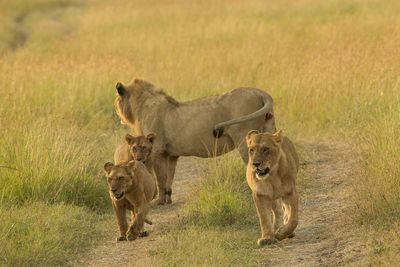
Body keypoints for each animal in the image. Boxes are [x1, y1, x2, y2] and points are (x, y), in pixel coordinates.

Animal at [112, 78, 276, 204]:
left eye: (117, 100)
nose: (117, 113)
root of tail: (260, 92)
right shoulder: (171, 155)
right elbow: (169, 178)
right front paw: (168, 200)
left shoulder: (157, 151)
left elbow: (160, 178)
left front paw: (158, 201)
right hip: (269, 134)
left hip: (244, 139)